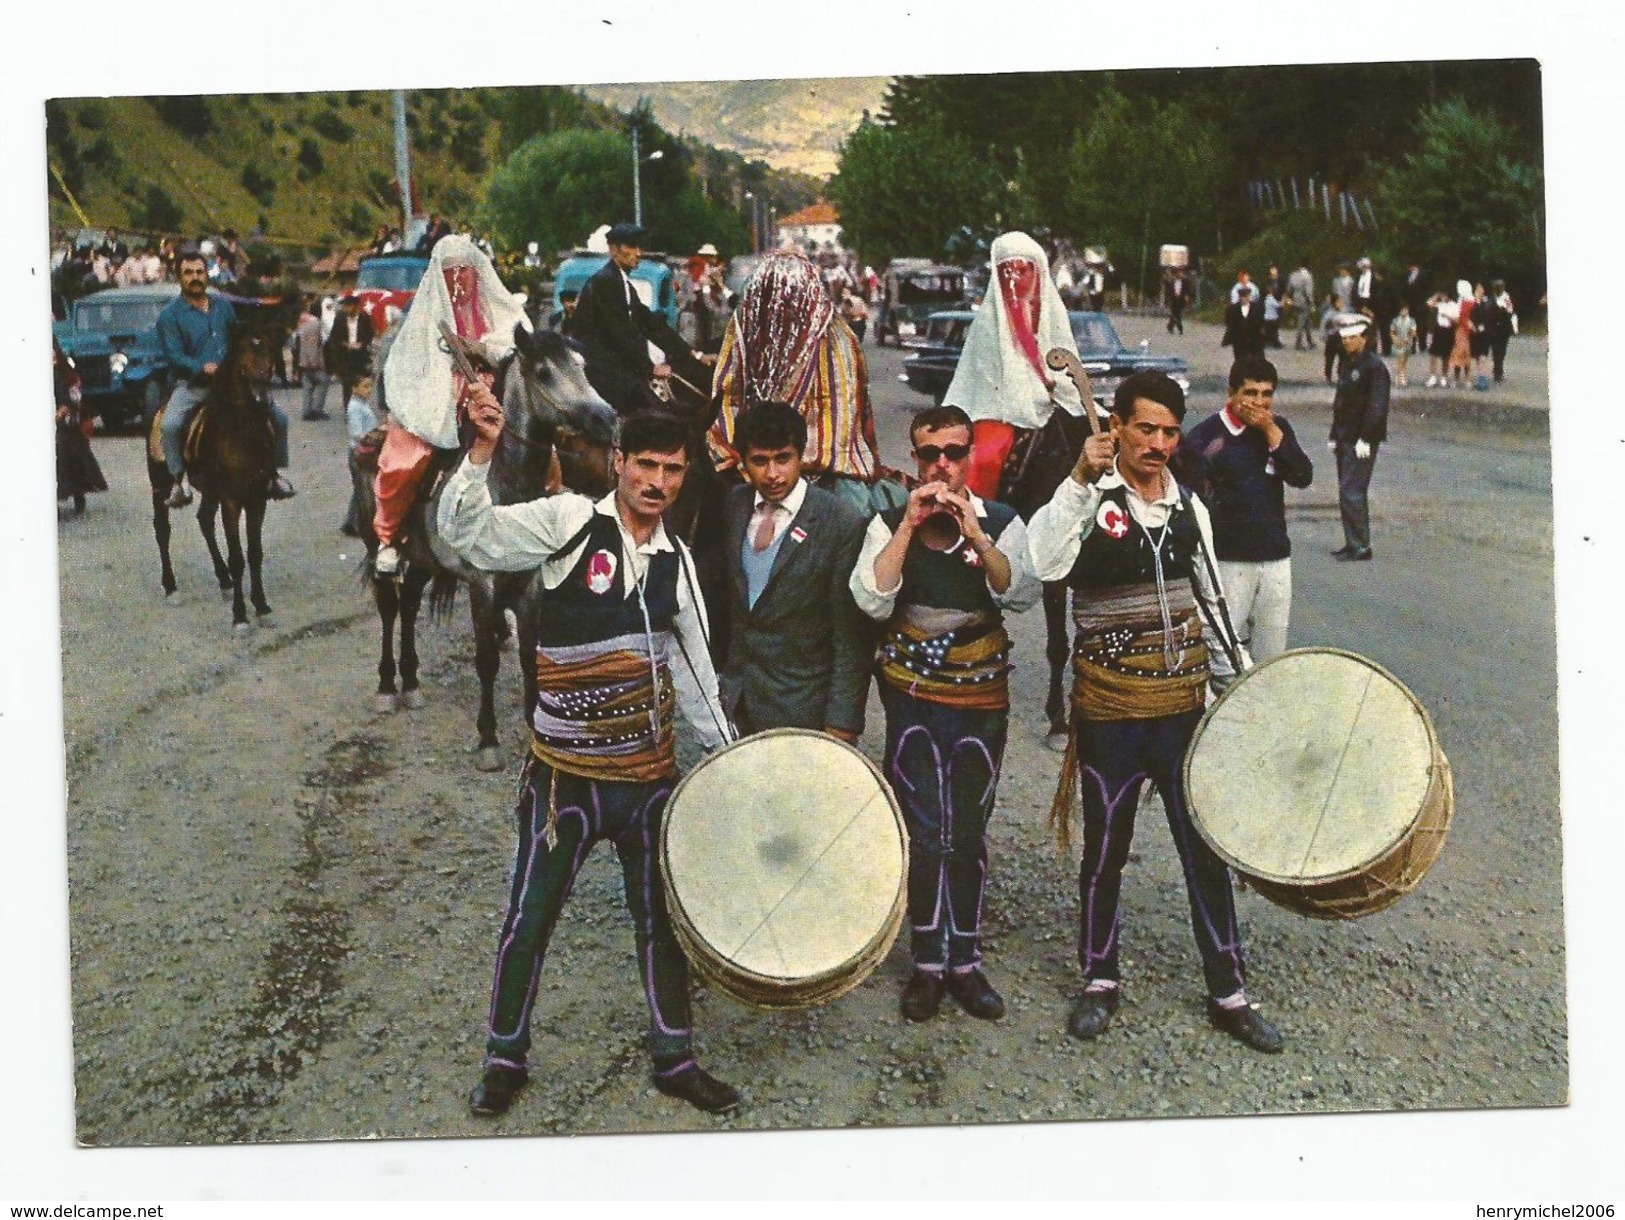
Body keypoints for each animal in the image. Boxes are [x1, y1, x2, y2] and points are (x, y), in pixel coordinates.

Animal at [147, 315, 287, 630]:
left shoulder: (256, 498)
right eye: (244, 348)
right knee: (163, 529)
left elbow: (255, 553)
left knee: (204, 521)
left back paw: (223, 581)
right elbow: (238, 557)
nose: (262, 382)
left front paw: (262, 607)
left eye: (268, 346)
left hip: (211, 490)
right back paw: (171, 588)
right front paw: (240, 617)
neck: (241, 431)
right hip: (160, 484)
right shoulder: (232, 499)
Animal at [359, 320, 617, 766]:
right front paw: (488, 738)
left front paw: (534, 722)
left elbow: (530, 654)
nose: (606, 418)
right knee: (390, 606)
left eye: (582, 366)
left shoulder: (529, 582)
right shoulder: (483, 584)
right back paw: (388, 686)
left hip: (424, 558)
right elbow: (486, 660)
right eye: (544, 372)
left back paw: (411, 681)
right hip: (377, 543)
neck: (505, 490)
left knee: (409, 605)